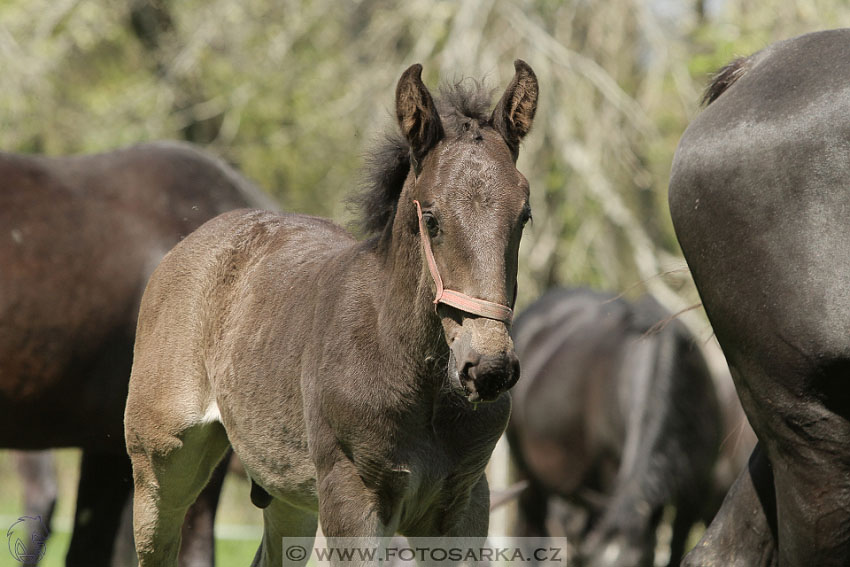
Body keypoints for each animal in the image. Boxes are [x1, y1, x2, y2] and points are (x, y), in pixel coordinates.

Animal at [122, 60, 536, 564]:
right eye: (432, 219)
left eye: (523, 216)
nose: (489, 367)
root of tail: (187, 244)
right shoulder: (350, 497)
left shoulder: (464, 505)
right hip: (160, 465)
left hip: (285, 492)